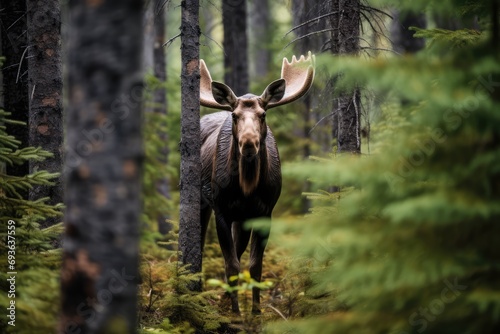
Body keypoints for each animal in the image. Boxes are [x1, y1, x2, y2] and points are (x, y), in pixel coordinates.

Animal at [200, 51, 314, 314]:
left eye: (263, 115)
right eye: (234, 115)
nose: (249, 143)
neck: (247, 188)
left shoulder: (265, 212)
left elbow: (254, 265)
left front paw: (255, 311)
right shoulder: (221, 210)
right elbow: (231, 265)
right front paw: (235, 313)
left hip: (242, 218)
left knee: (239, 249)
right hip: (202, 200)